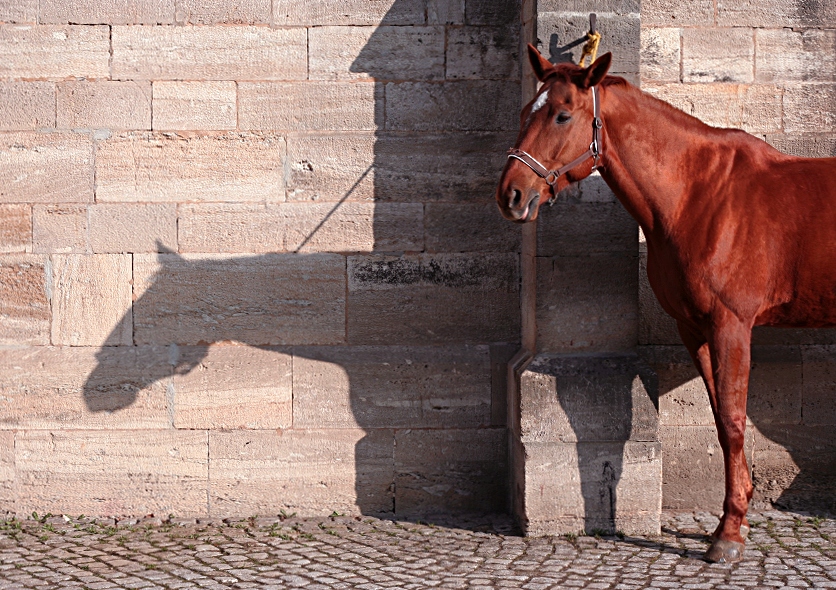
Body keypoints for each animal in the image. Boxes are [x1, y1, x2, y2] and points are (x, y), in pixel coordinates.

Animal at [496, 44, 836, 563]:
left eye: (561, 114)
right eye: (523, 113)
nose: (511, 194)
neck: (698, 195)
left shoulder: (731, 326)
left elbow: (733, 421)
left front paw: (728, 534)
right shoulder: (693, 328)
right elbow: (719, 418)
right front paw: (736, 516)